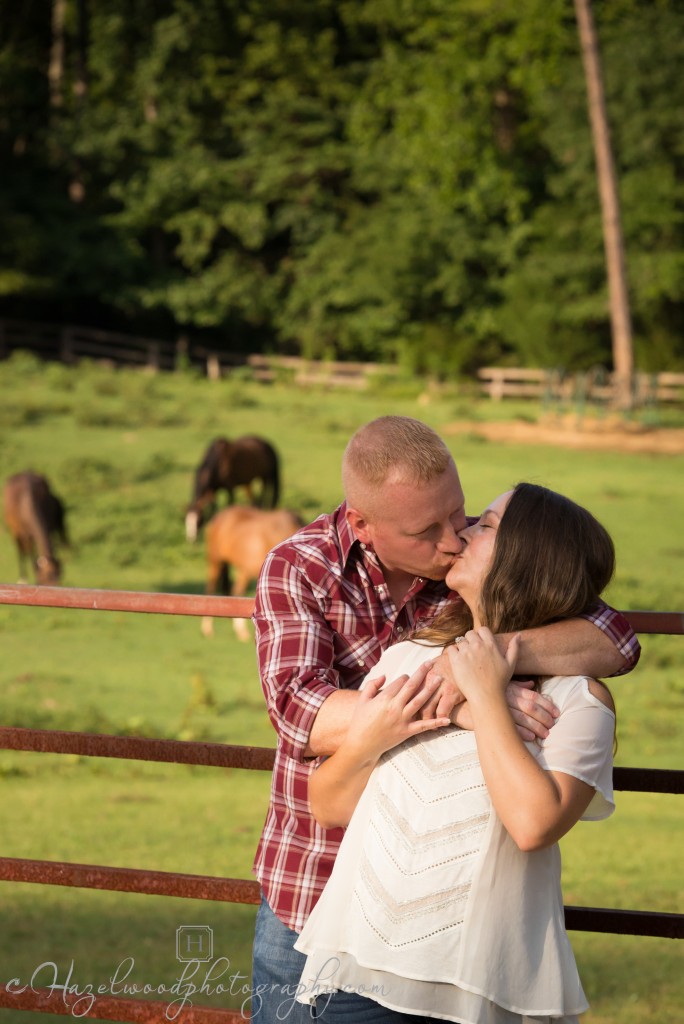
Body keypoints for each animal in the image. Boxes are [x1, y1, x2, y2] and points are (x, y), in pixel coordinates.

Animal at [200, 505, 301, 638]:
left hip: (240, 568)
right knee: (211, 588)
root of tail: (218, 517)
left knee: (235, 590)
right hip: (216, 560)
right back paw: (208, 628)